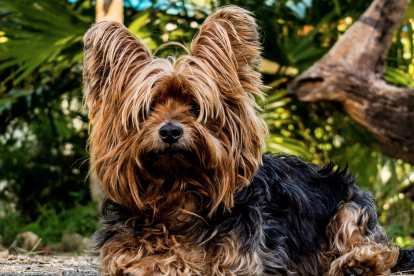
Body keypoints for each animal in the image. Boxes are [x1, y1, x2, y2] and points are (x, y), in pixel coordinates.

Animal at [81, 6, 414, 276]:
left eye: (196, 108)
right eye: (148, 109)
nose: (170, 131)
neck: (177, 191)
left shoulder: (241, 260)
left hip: (349, 204)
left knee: (373, 246)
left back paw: (358, 263)